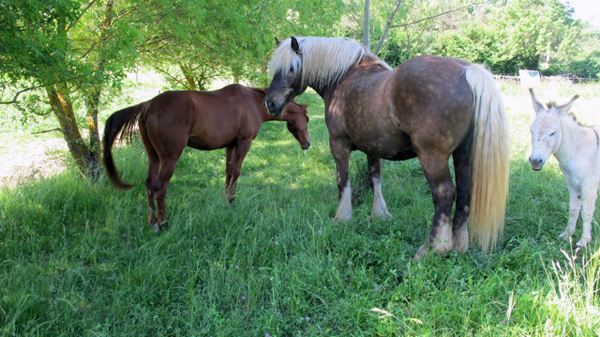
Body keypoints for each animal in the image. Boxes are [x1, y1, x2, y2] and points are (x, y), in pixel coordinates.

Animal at [103, 83, 310, 231]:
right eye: (306, 119)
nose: (307, 144)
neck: (252, 101)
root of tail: (149, 105)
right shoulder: (244, 143)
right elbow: (236, 172)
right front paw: (232, 202)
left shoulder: (231, 145)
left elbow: (228, 171)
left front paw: (224, 199)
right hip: (169, 159)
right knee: (159, 188)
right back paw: (164, 224)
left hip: (153, 157)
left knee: (148, 185)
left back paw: (152, 222)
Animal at [264, 36, 508, 258]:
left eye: (291, 68)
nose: (270, 103)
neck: (343, 77)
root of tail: (468, 72)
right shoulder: (373, 148)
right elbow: (375, 179)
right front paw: (379, 215)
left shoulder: (338, 144)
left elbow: (343, 181)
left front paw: (342, 218)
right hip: (463, 155)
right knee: (466, 193)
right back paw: (458, 245)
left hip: (432, 157)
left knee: (445, 194)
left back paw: (433, 248)